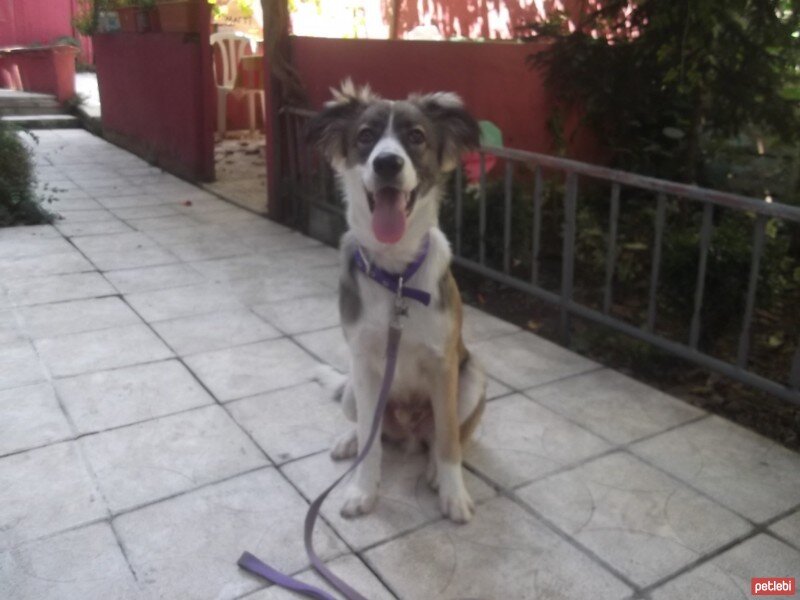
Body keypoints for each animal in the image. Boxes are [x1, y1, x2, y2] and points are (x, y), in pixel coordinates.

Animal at [308, 81, 488, 524]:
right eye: (365, 136)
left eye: (416, 136)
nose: (387, 163)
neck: (398, 279)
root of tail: (407, 429)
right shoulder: (363, 361)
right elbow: (371, 443)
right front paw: (362, 490)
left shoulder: (444, 364)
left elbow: (448, 439)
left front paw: (454, 493)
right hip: (354, 388)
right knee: (369, 429)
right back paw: (349, 441)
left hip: (472, 378)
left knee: (448, 436)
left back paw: (435, 471)